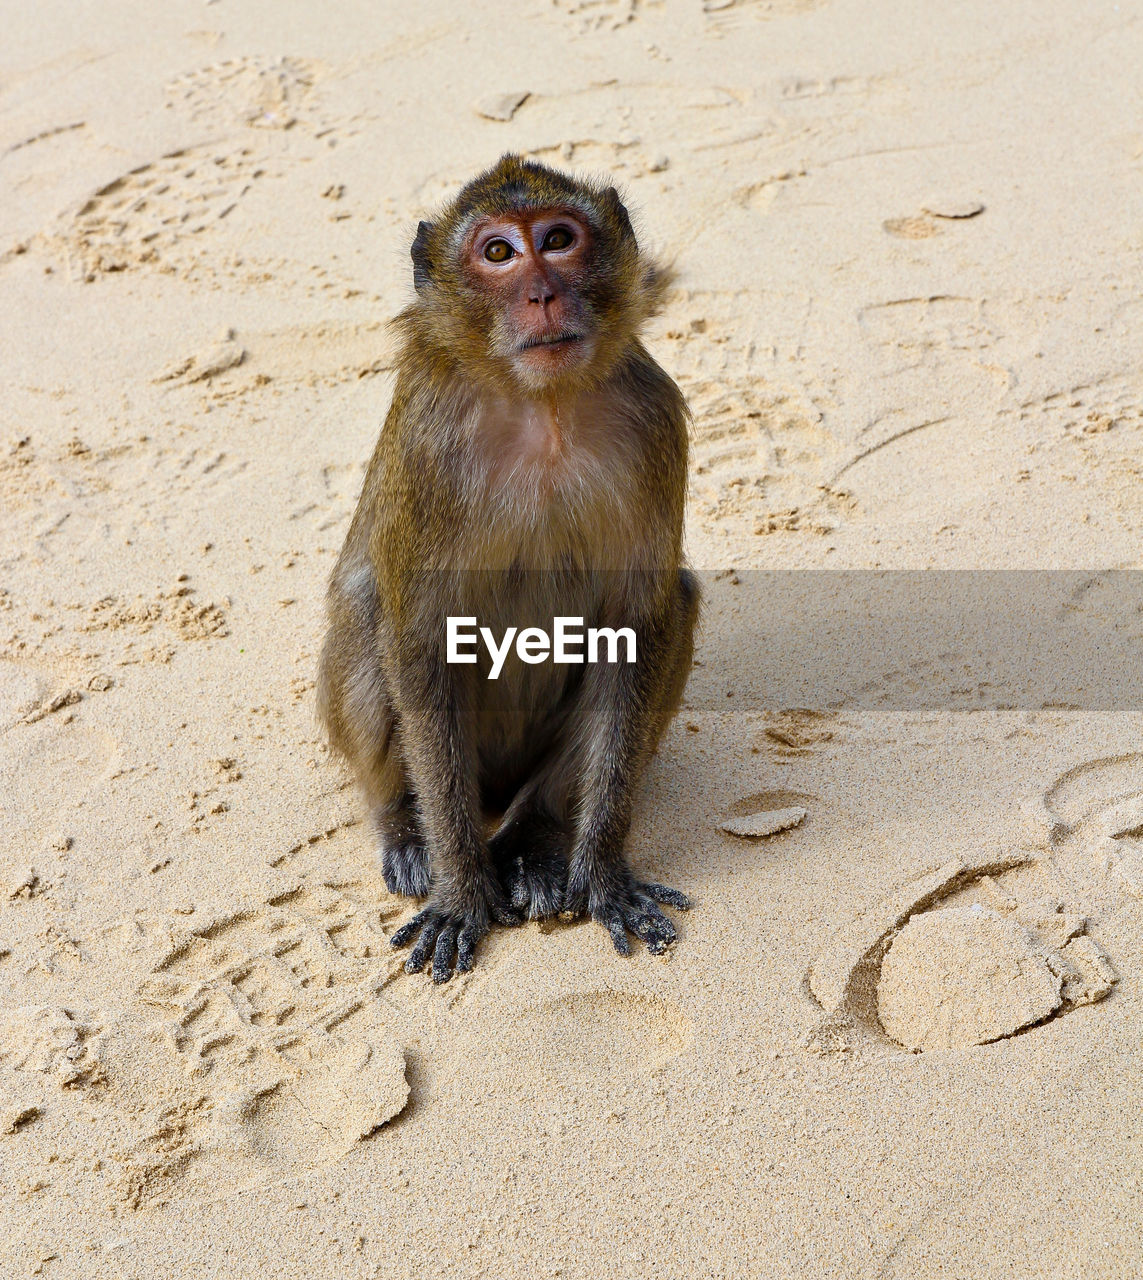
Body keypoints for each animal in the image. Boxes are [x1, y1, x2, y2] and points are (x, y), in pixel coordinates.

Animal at [316, 154, 701, 983]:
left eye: (557, 240)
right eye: (497, 253)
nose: (541, 293)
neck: (544, 408)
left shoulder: (654, 420)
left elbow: (638, 621)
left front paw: (601, 871)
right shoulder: (428, 444)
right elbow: (420, 634)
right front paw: (462, 892)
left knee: (679, 601)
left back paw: (535, 842)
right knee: (367, 609)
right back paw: (405, 828)